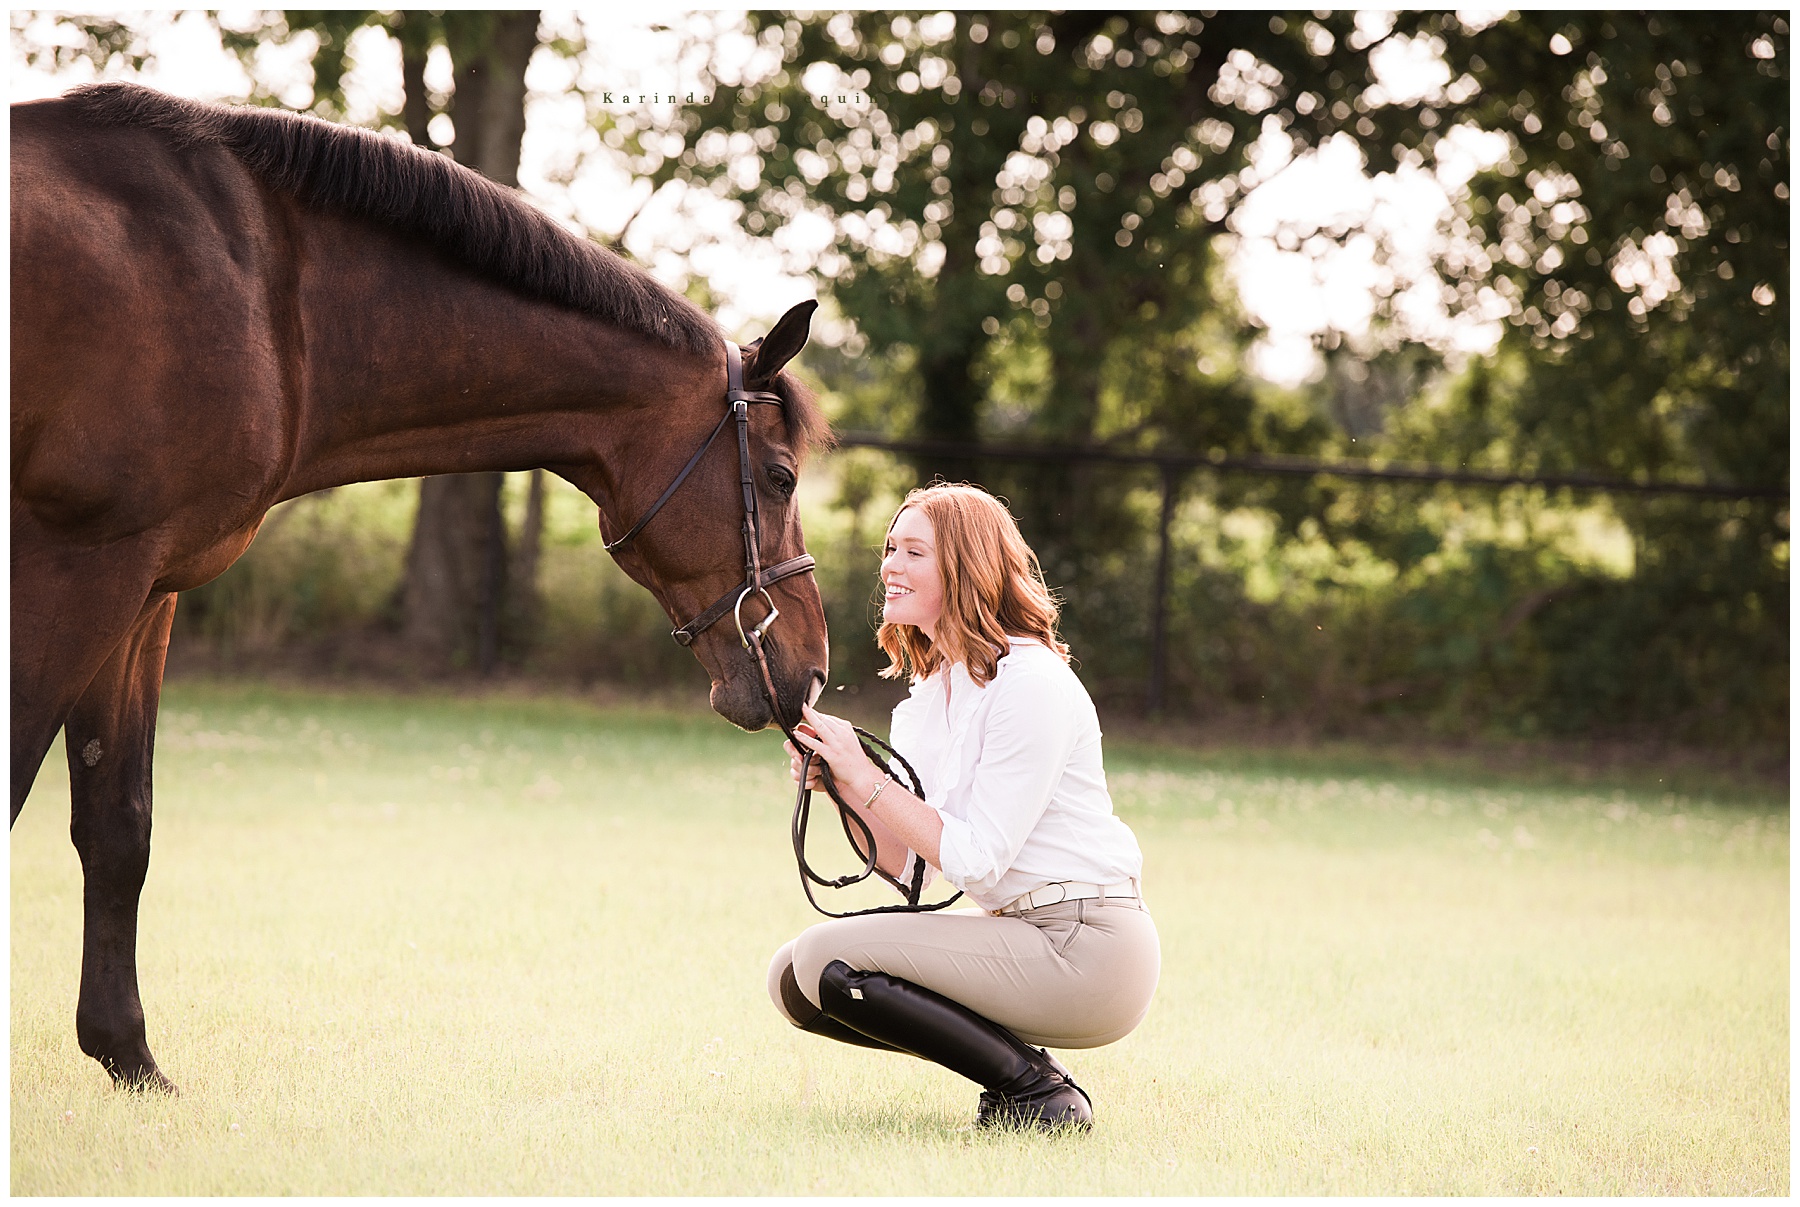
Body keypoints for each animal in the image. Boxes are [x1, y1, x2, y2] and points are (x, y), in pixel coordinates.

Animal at [11, 82, 833, 1093]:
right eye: (782, 477)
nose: (812, 665)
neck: (268, 297)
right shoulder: (80, 566)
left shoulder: (147, 592)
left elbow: (119, 826)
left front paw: (126, 1051)